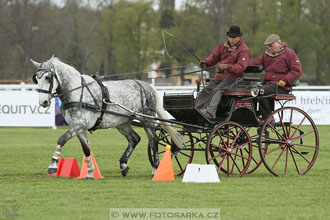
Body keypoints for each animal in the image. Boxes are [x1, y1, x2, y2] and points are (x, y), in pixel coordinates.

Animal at [31, 56, 183, 179]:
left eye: (47, 77)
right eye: (36, 78)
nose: (43, 102)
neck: (78, 92)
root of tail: (146, 85)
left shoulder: (79, 126)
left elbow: (61, 139)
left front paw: (53, 165)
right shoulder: (78, 128)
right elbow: (86, 149)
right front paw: (90, 172)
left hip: (147, 119)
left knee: (153, 141)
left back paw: (155, 170)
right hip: (123, 123)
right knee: (134, 139)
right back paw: (123, 165)